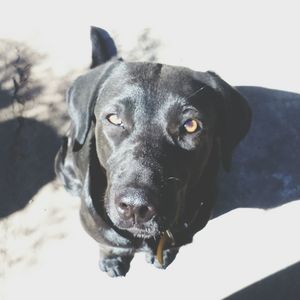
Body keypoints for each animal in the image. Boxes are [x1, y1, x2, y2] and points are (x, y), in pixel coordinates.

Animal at [55, 27, 251, 278]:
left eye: (191, 125)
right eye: (114, 118)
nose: (135, 207)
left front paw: (164, 252)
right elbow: (108, 244)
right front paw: (111, 259)